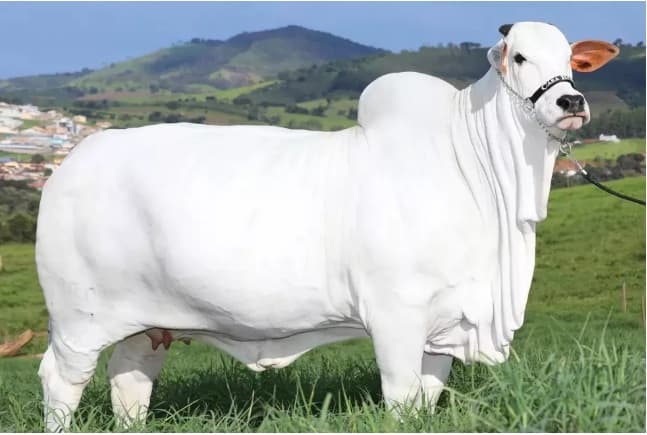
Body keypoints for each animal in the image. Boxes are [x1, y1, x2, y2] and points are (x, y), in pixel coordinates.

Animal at [36, 22, 618, 431]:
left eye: (572, 62)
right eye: (519, 56)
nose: (571, 101)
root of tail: (71, 162)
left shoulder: (443, 326)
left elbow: (426, 400)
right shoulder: (396, 317)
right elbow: (401, 399)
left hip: (148, 324)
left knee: (129, 381)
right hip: (78, 320)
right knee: (60, 381)